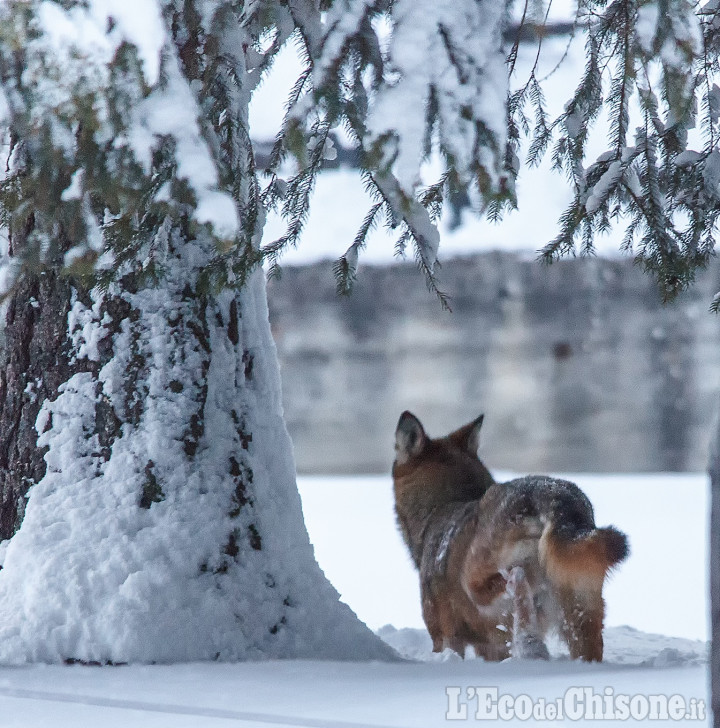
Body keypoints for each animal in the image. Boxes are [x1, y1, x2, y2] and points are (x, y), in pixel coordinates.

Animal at [390, 412, 628, 664]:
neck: (439, 509)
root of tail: (554, 495)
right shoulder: (490, 648)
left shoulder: (444, 635)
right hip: (582, 612)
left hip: (477, 580)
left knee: (513, 591)